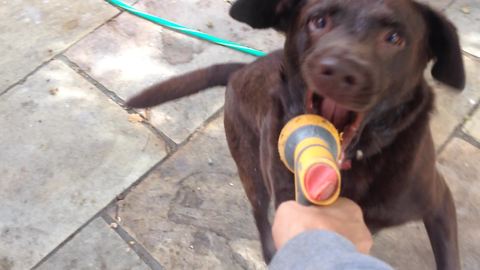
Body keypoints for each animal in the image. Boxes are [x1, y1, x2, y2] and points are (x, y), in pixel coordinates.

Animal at [127, 1, 464, 268]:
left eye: (394, 38)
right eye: (319, 21)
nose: (340, 70)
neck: (354, 168)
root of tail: (241, 69)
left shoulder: (440, 204)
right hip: (253, 172)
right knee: (260, 215)